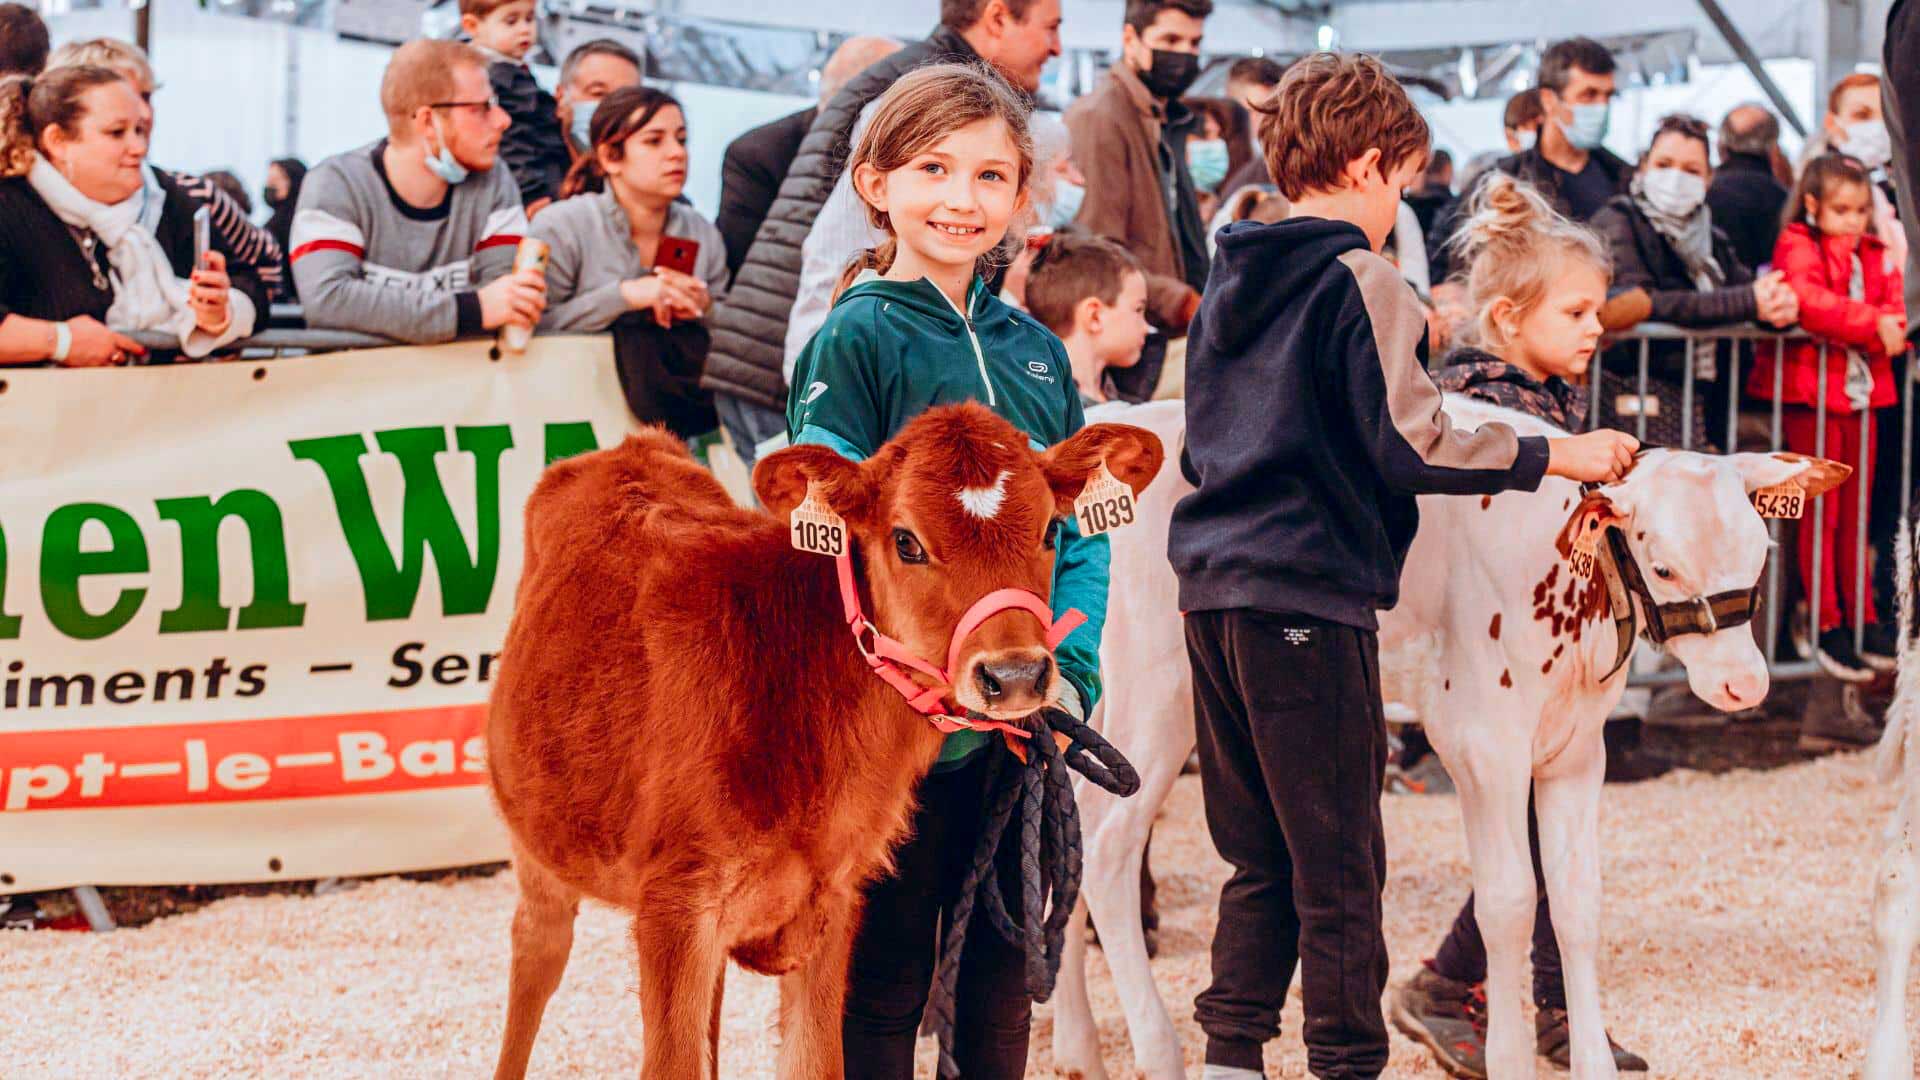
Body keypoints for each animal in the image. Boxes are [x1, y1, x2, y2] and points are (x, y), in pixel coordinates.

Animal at [487, 399, 1159, 1068]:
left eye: (1050, 532)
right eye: (906, 542)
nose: (1015, 674)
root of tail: (626, 448)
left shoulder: (833, 900)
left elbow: (815, 1059)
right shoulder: (673, 910)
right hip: (538, 851)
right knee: (534, 955)